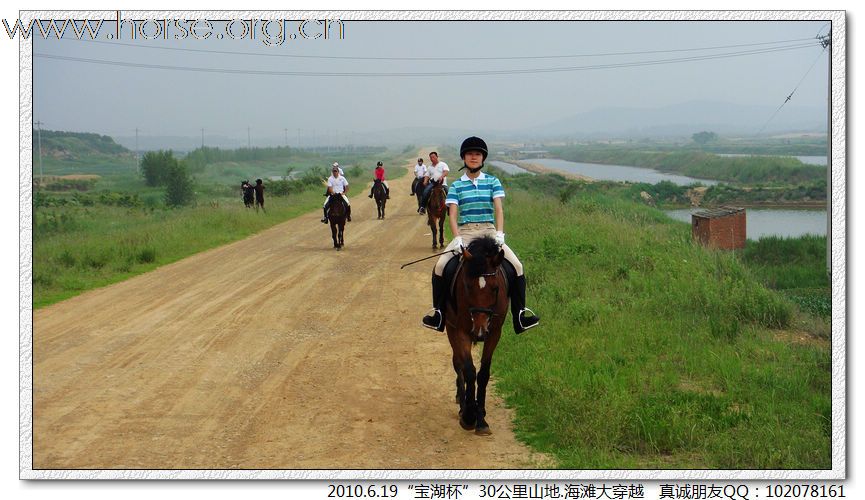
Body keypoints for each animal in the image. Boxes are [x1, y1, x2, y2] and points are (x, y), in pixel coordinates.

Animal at [446, 236, 506, 436]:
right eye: (467, 286)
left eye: (495, 288)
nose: (479, 332)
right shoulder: (461, 332)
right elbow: (469, 371)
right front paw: (469, 416)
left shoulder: (494, 333)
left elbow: (483, 374)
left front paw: (481, 419)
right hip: (450, 328)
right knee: (458, 364)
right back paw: (462, 403)